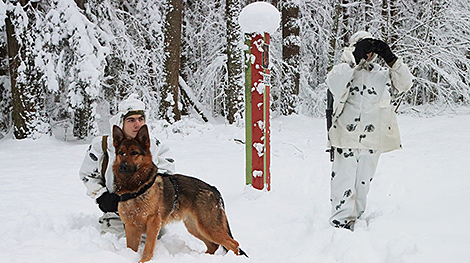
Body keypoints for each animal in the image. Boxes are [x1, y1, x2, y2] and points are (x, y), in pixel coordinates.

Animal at [112, 125, 248, 262]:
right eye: (121, 153)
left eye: (134, 153)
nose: (122, 167)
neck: (135, 189)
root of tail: (214, 189)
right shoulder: (130, 227)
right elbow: (131, 248)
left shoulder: (153, 223)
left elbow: (148, 248)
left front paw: (144, 260)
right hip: (195, 227)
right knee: (213, 245)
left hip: (209, 227)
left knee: (234, 244)